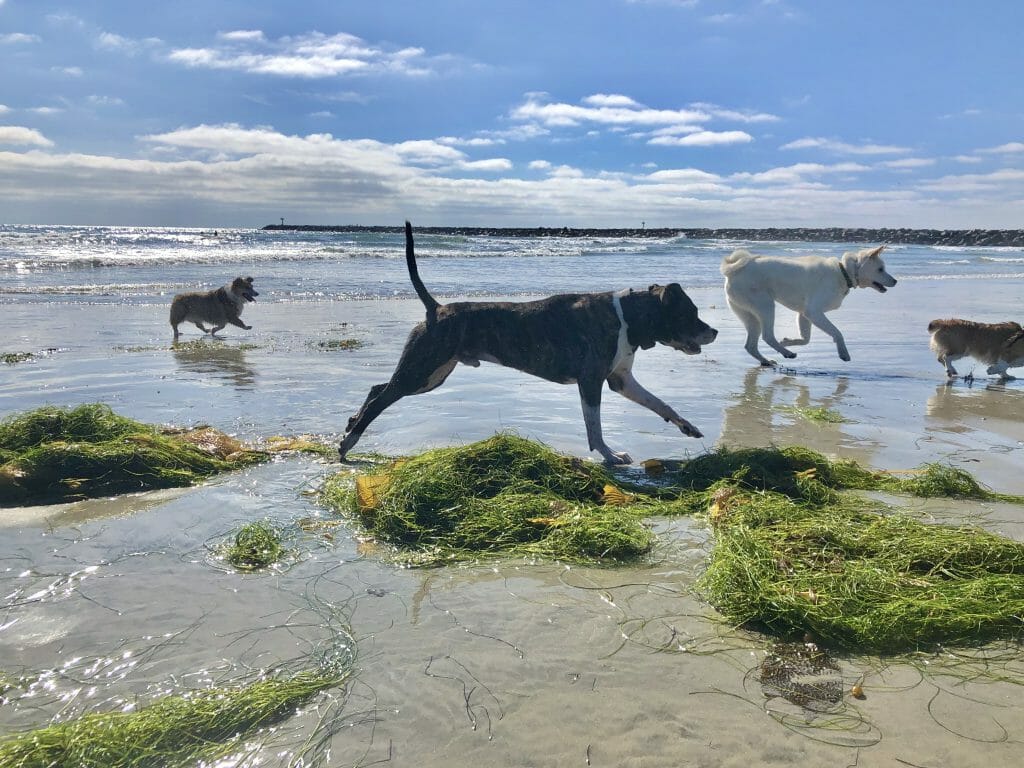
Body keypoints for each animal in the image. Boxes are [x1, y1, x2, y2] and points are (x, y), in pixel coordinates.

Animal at [720, 246, 897, 366]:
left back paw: (768, 360)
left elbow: (806, 339)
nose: (895, 281)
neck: (843, 272)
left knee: (750, 345)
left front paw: (787, 341)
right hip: (765, 307)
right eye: (880, 269)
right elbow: (837, 333)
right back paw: (787, 353)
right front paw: (843, 353)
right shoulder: (814, 312)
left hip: (750, 316)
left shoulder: (804, 314)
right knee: (767, 336)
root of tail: (732, 271)